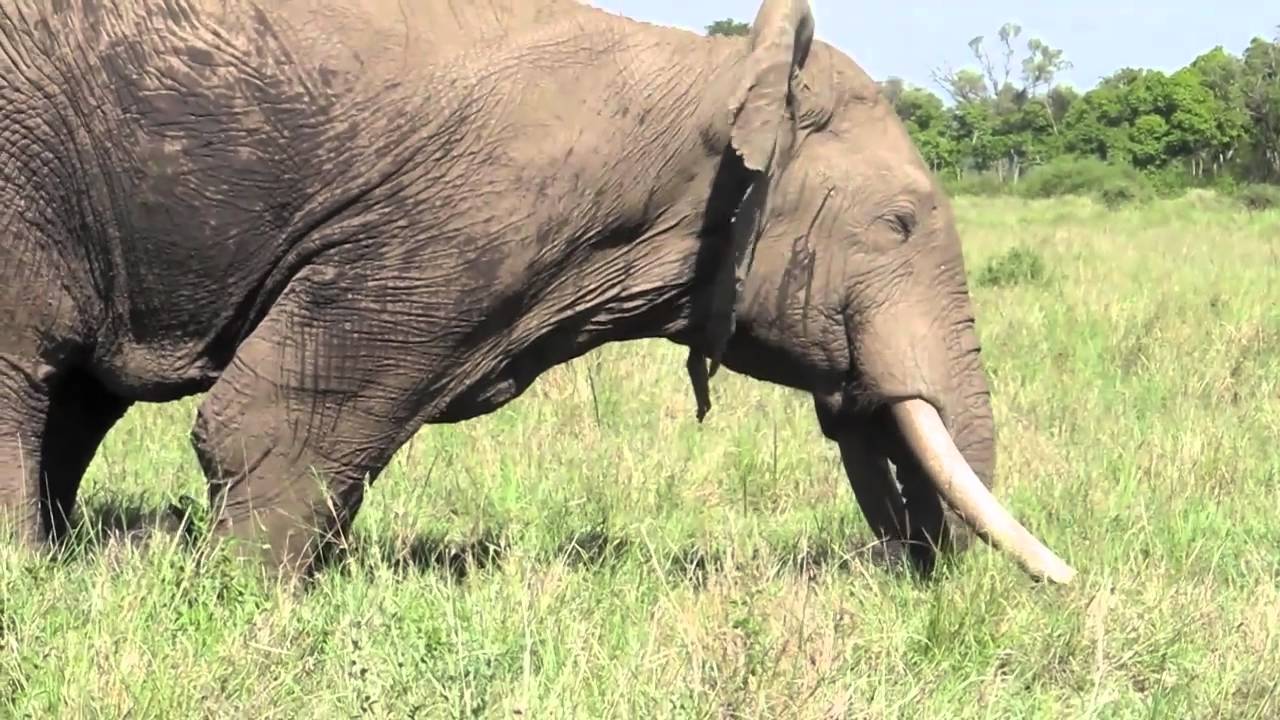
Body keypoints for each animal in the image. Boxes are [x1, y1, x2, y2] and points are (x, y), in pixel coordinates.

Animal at [0, 0, 1075, 584]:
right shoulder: (464, 220)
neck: (725, 75)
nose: (906, 573)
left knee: (75, 398)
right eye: (897, 225)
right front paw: (241, 603)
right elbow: (269, 420)